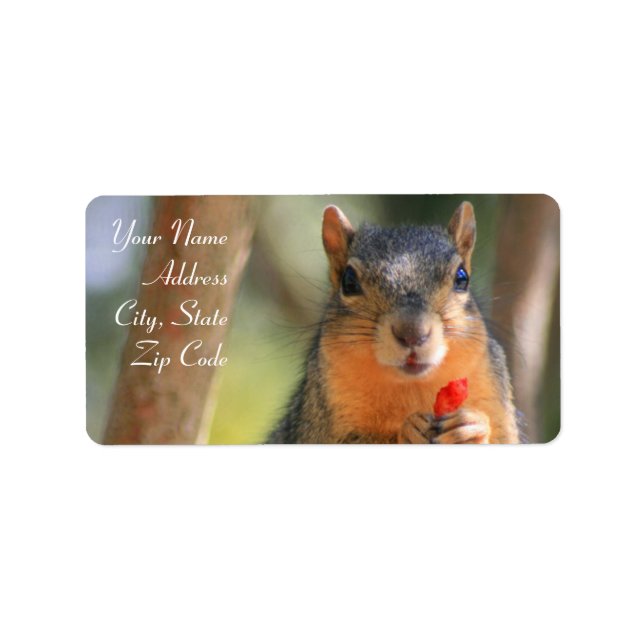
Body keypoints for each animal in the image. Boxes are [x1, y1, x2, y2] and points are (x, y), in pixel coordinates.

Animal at [266, 202, 520, 444]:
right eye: (349, 282)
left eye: (462, 278)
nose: (412, 332)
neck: (412, 386)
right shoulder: (316, 419)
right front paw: (406, 431)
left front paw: (472, 426)